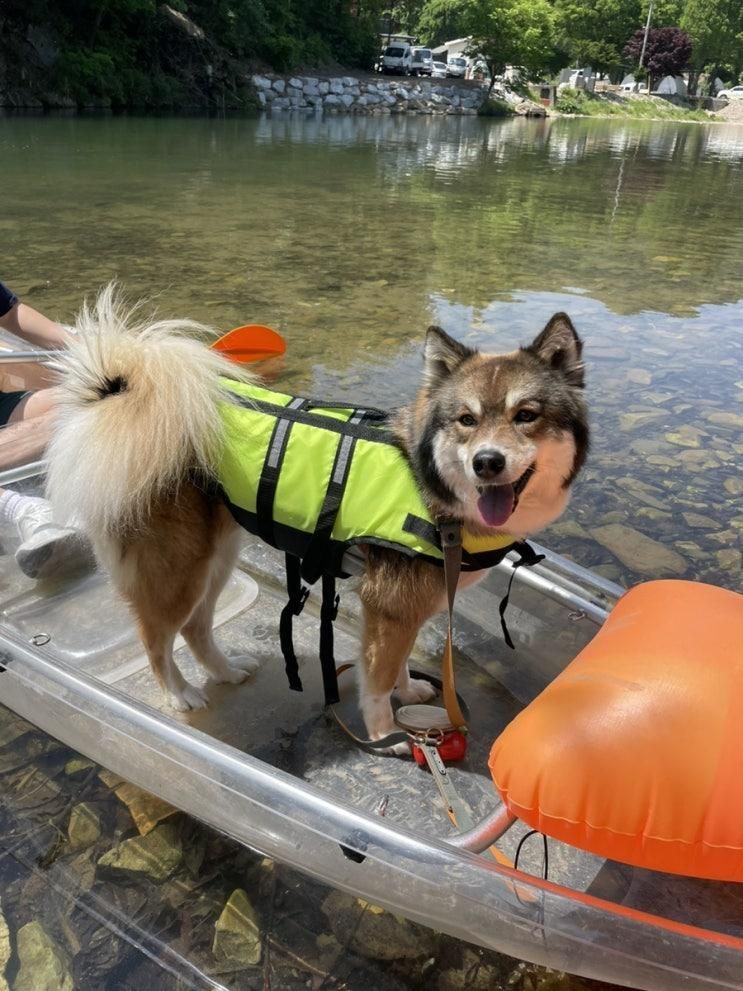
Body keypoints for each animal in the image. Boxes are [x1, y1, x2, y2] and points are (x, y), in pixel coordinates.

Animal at [49, 290, 588, 748]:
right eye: (466, 420)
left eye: (526, 415)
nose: (487, 462)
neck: (428, 482)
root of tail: (122, 401)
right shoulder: (391, 603)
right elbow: (378, 679)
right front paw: (383, 734)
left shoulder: (407, 607)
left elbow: (399, 661)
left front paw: (409, 693)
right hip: (176, 570)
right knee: (156, 637)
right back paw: (178, 693)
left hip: (215, 558)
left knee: (196, 628)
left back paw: (225, 672)